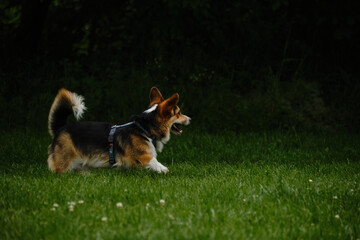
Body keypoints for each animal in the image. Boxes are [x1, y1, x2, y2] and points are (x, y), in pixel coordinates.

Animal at [47, 87, 191, 173]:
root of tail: (60, 128)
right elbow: (153, 160)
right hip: (65, 160)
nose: (190, 119)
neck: (146, 129)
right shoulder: (141, 154)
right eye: (178, 113)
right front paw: (165, 170)